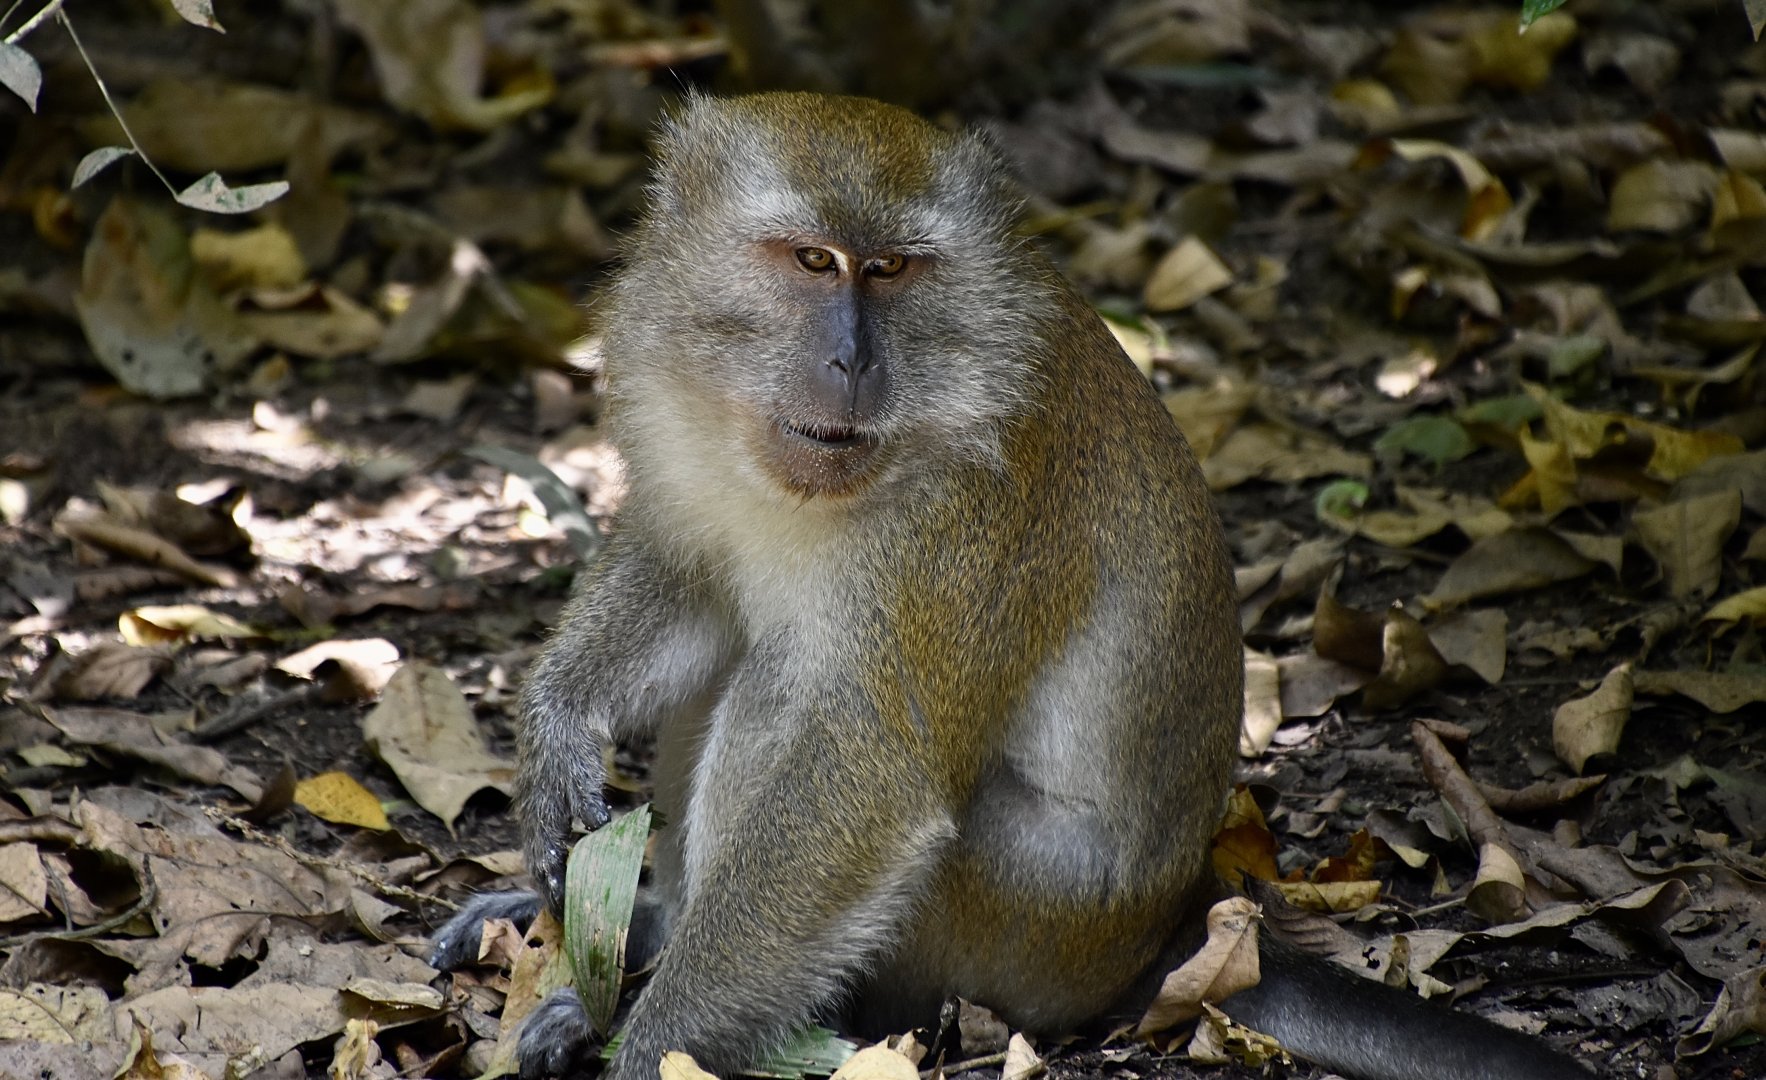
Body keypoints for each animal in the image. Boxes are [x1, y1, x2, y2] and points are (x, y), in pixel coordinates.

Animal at [430, 92, 1594, 1080]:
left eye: (892, 271)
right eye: (813, 260)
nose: (851, 362)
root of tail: (1170, 930)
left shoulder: (969, 519)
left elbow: (871, 773)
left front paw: (650, 1049)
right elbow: (687, 575)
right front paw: (557, 729)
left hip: (1019, 922)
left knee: (783, 698)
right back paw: (644, 934)